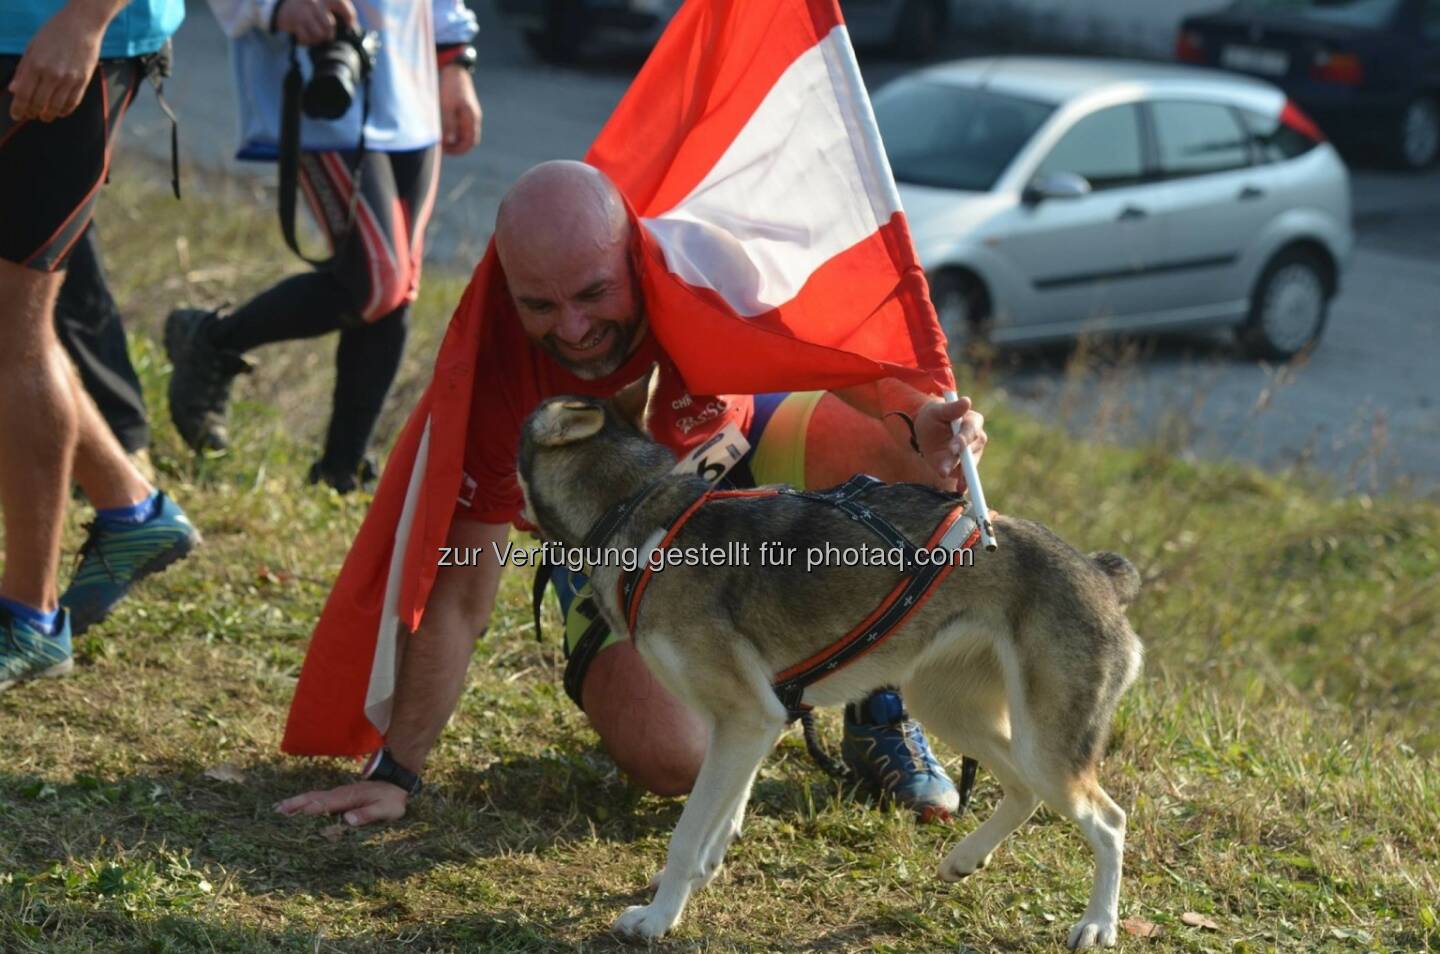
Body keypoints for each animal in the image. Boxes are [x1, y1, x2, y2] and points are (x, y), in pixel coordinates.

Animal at [518, 391, 1146, 951]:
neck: (640, 515)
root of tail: (1099, 572)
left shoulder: (745, 717)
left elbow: (689, 831)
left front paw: (657, 918)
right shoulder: (755, 723)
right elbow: (721, 818)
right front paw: (699, 877)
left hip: (1044, 740)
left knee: (1107, 821)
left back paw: (1098, 924)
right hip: (950, 706)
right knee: (1022, 790)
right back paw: (965, 859)